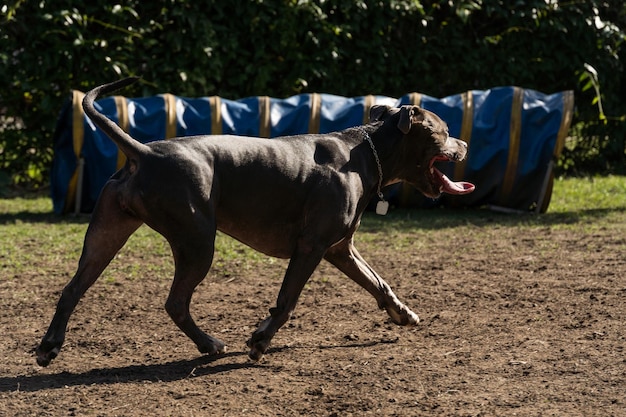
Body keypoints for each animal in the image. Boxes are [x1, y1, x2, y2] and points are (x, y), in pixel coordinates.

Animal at [35, 77, 472, 364]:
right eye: (445, 130)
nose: (466, 143)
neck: (366, 151)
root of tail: (143, 151)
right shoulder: (312, 247)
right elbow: (287, 300)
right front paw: (260, 341)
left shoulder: (340, 249)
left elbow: (378, 282)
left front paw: (402, 313)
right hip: (197, 242)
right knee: (176, 302)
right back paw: (209, 345)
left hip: (105, 238)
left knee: (71, 289)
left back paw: (49, 346)